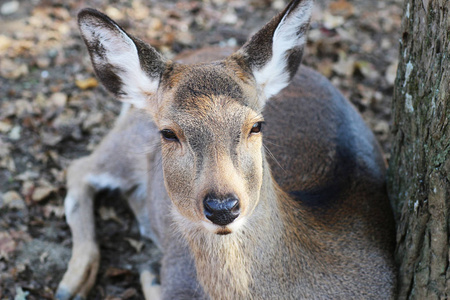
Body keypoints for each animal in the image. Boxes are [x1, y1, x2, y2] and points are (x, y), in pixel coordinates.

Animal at [54, 0, 396, 298]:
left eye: (256, 126)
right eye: (168, 133)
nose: (222, 207)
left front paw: (150, 272)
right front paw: (149, 273)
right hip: (129, 140)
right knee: (79, 168)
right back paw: (73, 283)